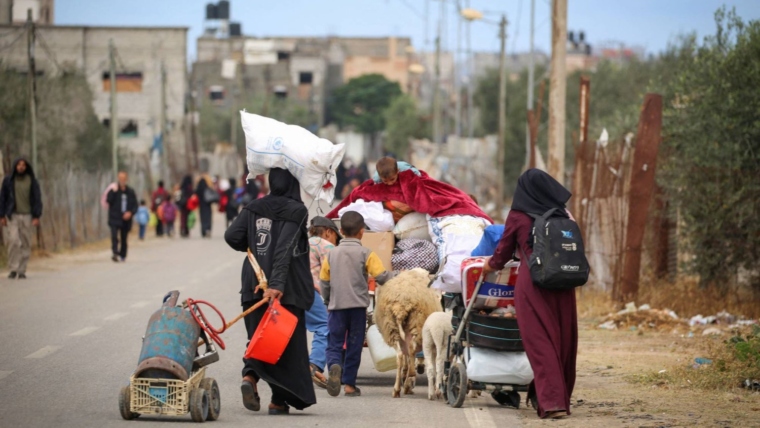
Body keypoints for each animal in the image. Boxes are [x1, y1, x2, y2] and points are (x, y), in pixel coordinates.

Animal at [372, 268, 442, 398]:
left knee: (400, 355)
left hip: (391, 328)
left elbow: (406, 358)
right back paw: (411, 375)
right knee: (411, 350)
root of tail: (400, 306)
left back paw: (397, 389)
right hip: (416, 325)